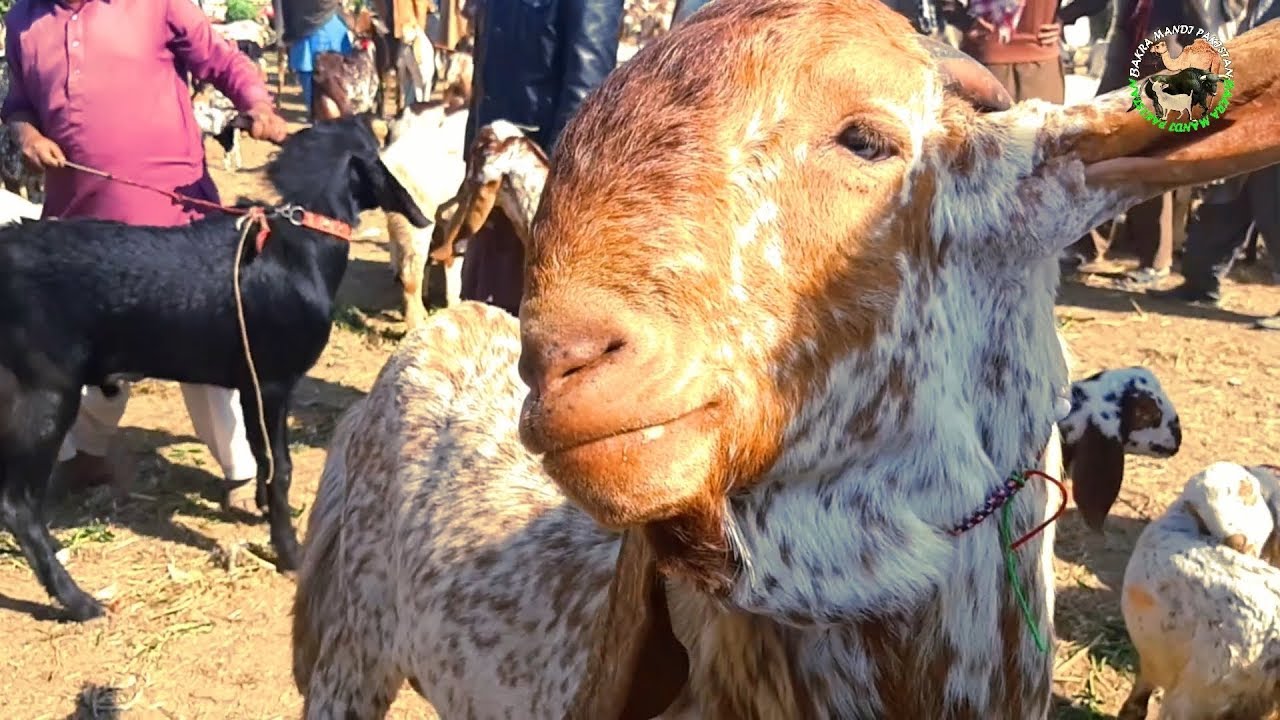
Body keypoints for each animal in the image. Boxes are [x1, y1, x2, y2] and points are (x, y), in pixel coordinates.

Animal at [0, 115, 430, 622]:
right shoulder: (272, 384)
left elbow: (264, 459)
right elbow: (280, 466)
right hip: (46, 394)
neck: (295, 250)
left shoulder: (250, 385)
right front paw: (289, 551)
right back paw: (79, 599)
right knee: (18, 506)